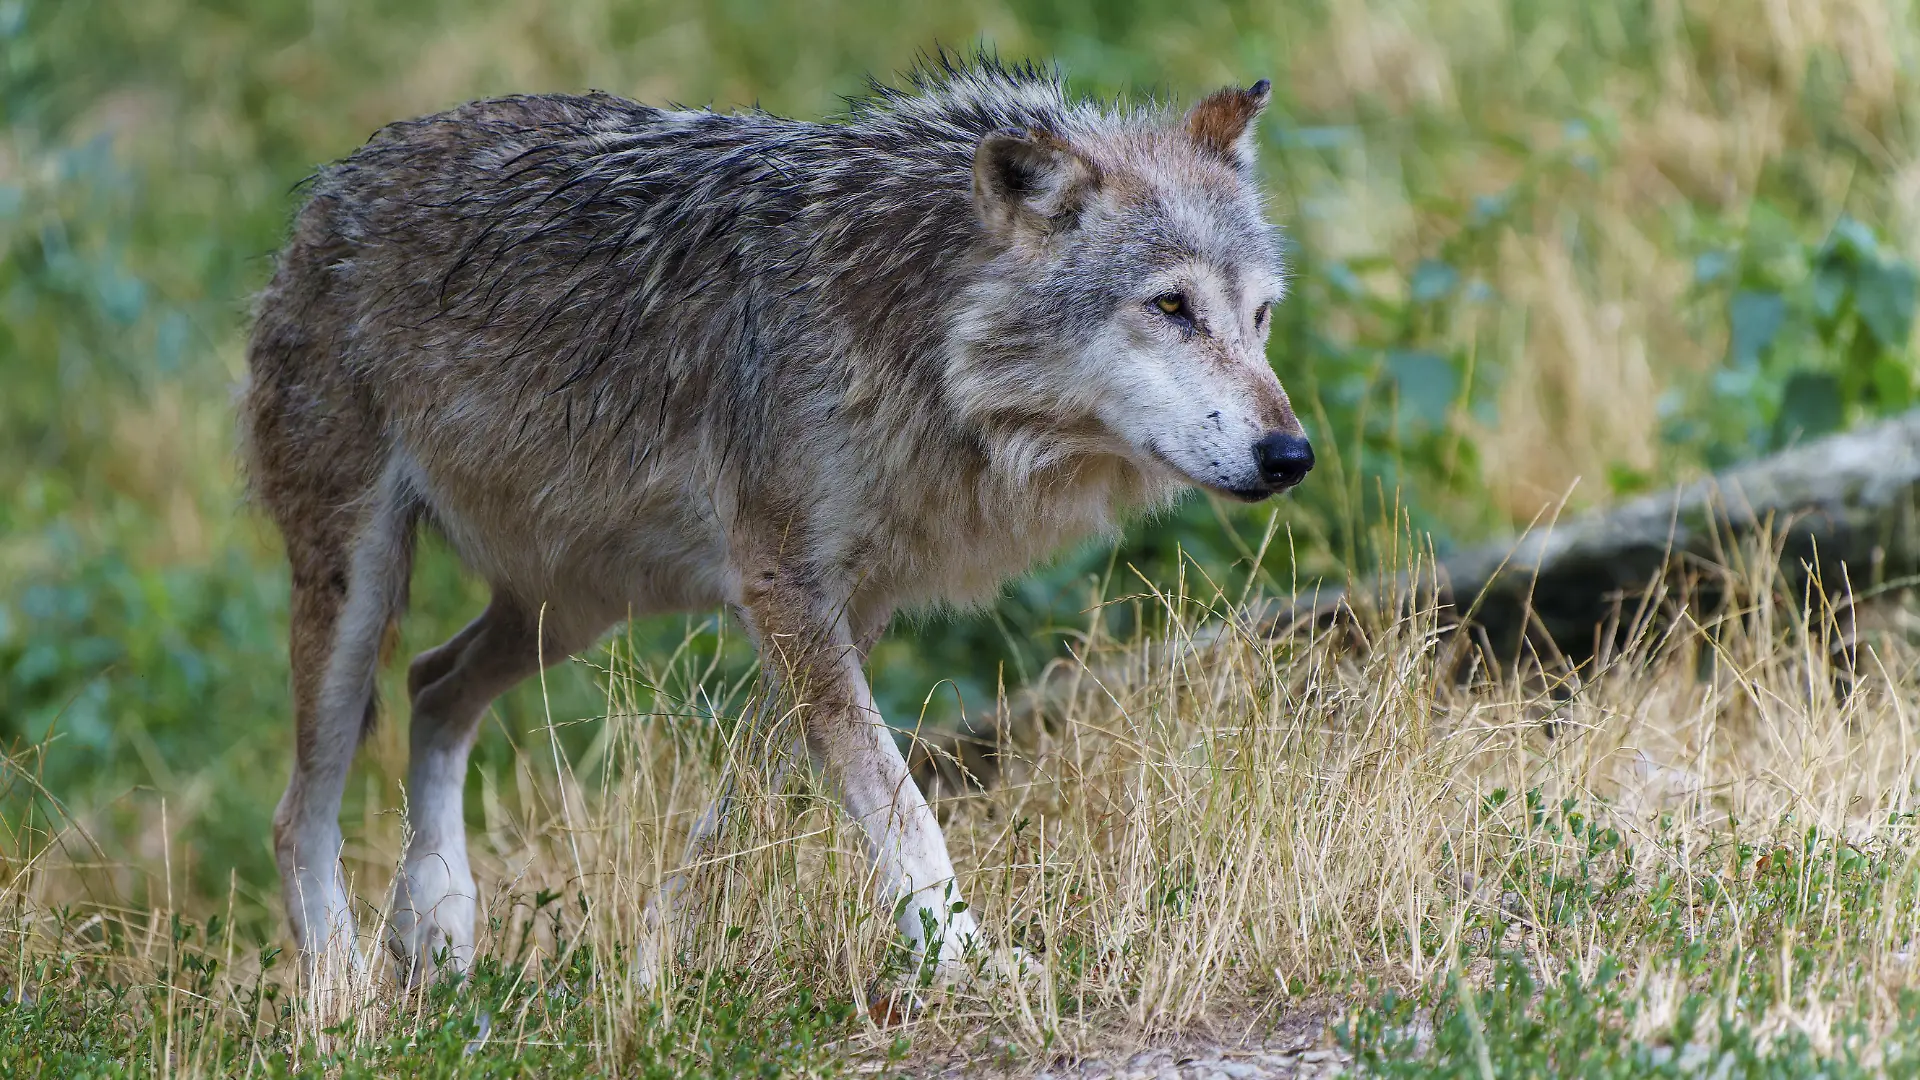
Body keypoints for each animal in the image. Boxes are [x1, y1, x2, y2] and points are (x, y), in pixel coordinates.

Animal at [242, 55, 1311, 990]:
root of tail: (331, 190)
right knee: (299, 814)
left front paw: (655, 969)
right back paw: (343, 997)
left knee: (432, 685)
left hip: (572, 609)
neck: (913, 339)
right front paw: (967, 962)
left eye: (1260, 317)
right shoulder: (785, 588)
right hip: (365, 590)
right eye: (1169, 306)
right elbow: (901, 806)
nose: (1290, 455)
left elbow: (743, 810)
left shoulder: (849, 607)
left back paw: (439, 927)